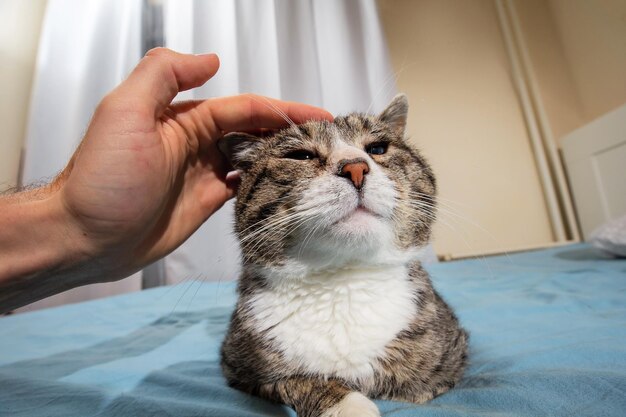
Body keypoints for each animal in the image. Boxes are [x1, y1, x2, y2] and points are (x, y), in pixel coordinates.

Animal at [217, 95, 466, 416]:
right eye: (300, 156)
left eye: (377, 148)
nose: (355, 168)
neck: (344, 280)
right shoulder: (240, 367)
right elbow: (296, 380)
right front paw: (348, 404)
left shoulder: (452, 359)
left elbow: (422, 387)